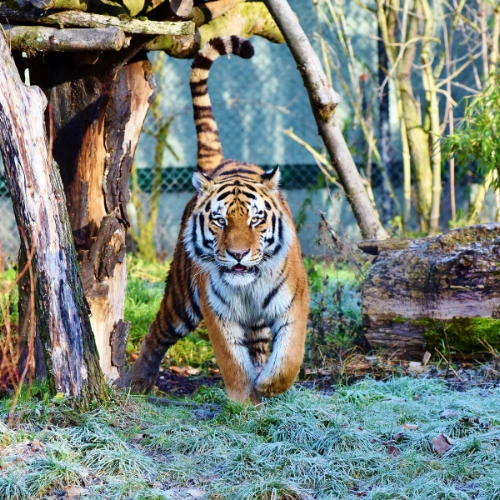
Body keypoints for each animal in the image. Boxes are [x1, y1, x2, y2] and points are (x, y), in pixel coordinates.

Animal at [126, 35, 308, 402]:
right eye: (220, 221)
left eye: (255, 221)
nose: (237, 254)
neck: (249, 287)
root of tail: (220, 163)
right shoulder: (217, 311)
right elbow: (232, 362)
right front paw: (243, 400)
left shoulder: (294, 302)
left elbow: (289, 357)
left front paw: (269, 384)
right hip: (181, 298)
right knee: (156, 332)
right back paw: (136, 381)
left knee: (260, 345)